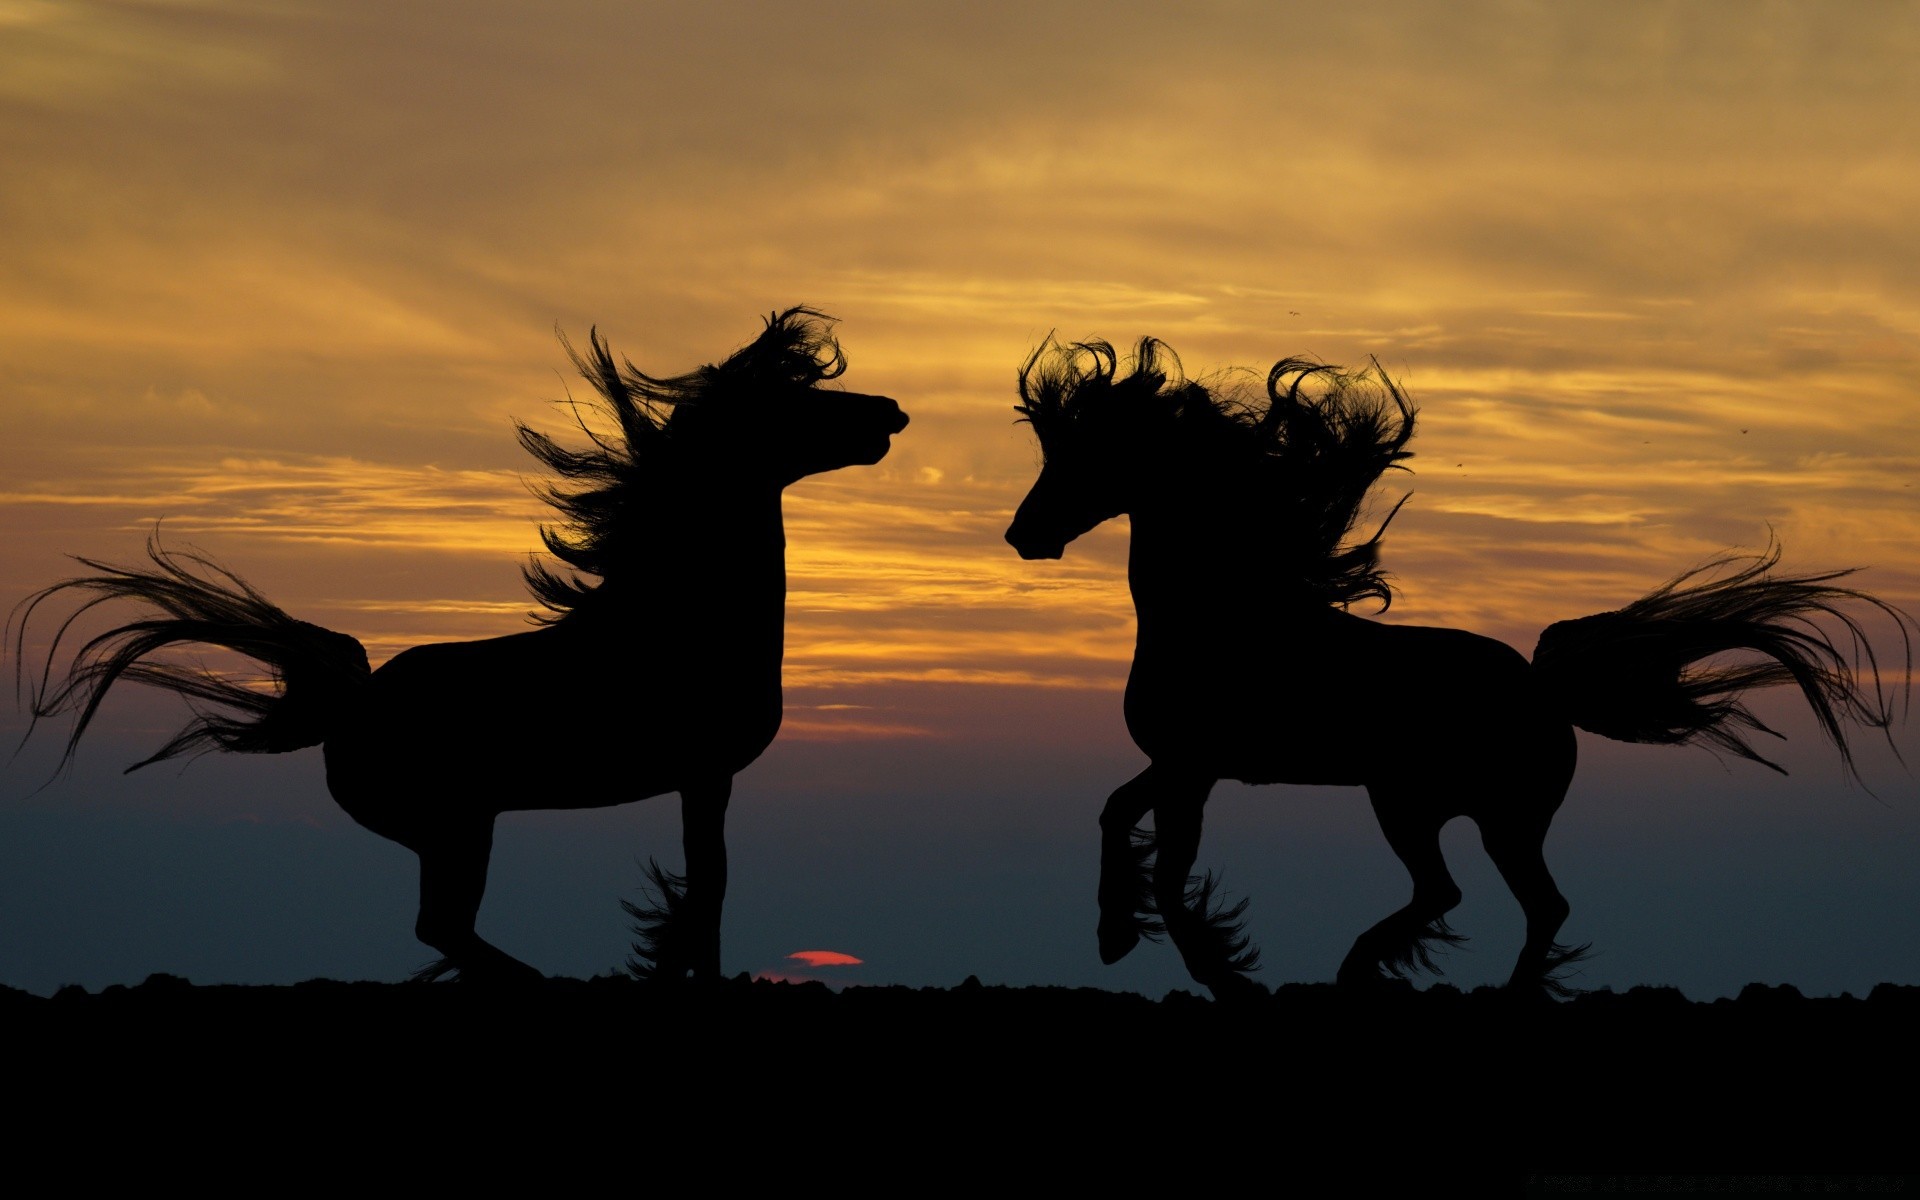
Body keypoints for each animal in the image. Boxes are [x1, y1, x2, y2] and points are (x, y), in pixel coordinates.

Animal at [15, 307, 910, 983]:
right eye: (795, 401)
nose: (891, 412)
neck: (677, 617)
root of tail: (352, 702)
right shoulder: (704, 772)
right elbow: (708, 893)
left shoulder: (706, 779)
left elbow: (707, 893)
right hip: (460, 827)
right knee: (442, 927)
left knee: (441, 929)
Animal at [1006, 334, 1904, 990]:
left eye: (1089, 453)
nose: (1024, 534)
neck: (1221, 613)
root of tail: (1541, 688)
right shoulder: (1181, 764)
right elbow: (1120, 819)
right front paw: (1121, 937)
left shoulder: (1193, 766)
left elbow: (1160, 863)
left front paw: (1206, 967)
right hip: (1475, 815)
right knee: (1524, 903)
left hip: (1425, 804)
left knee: (1476, 895)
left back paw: (1373, 972)